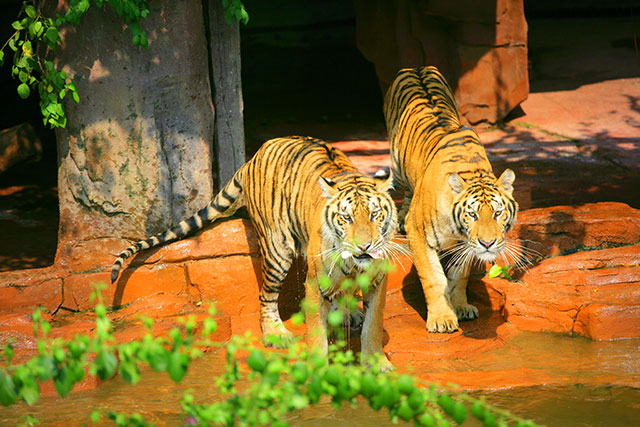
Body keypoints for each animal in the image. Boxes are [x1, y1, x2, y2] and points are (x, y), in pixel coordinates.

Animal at [112, 137, 398, 372]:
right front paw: (318, 365)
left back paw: (347, 312)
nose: (364, 246)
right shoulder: (316, 280)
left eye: (375, 214)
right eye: (346, 218)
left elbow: (372, 326)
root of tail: (254, 156)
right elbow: (317, 329)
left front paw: (377, 363)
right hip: (277, 249)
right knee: (267, 296)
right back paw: (276, 334)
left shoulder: (378, 280)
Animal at [382, 66, 516, 334]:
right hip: (398, 164)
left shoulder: (465, 245)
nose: (488, 243)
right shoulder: (418, 233)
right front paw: (442, 319)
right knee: (405, 190)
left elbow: (459, 276)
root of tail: (416, 67)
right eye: (472, 214)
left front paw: (461, 307)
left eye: (498, 213)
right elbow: (433, 278)